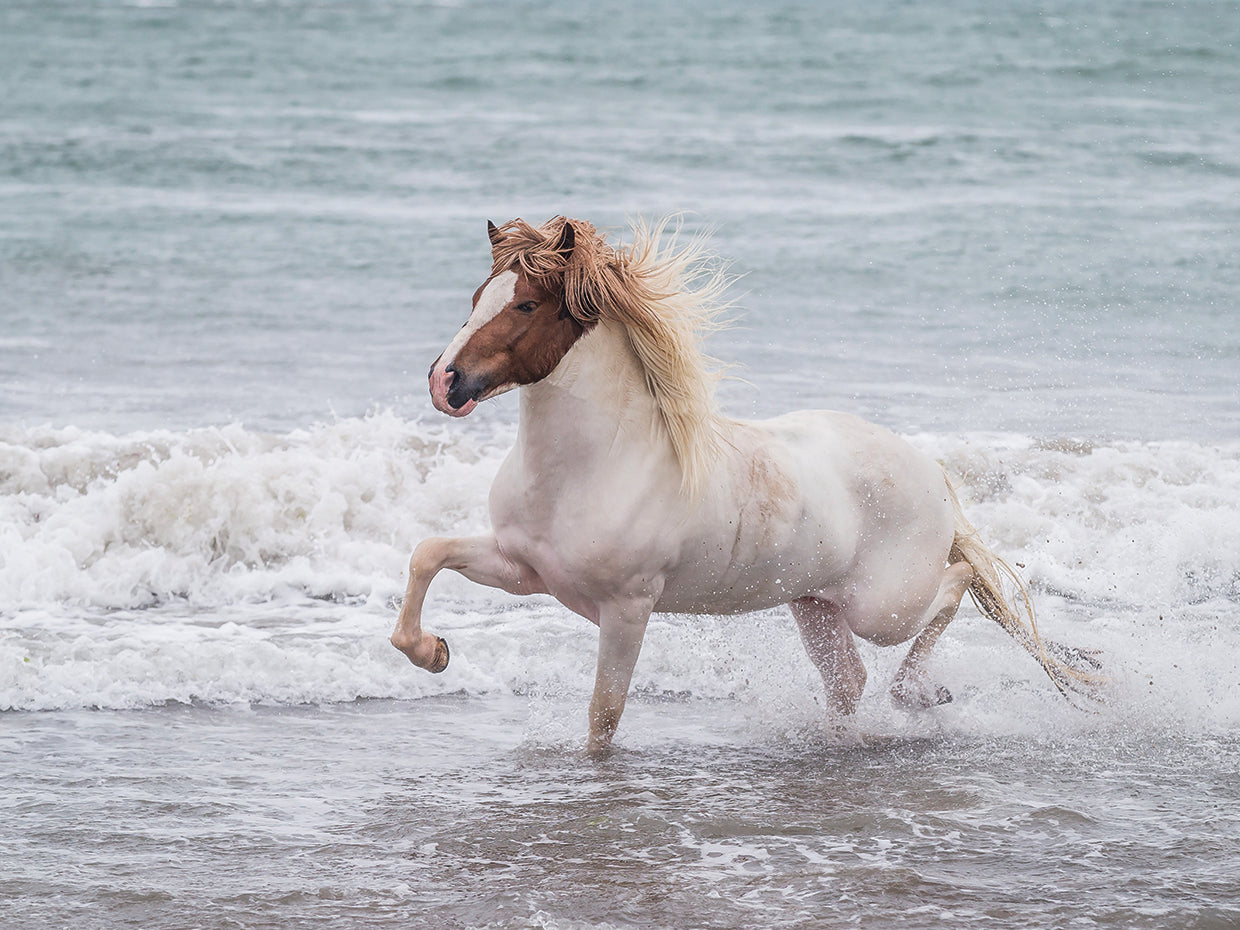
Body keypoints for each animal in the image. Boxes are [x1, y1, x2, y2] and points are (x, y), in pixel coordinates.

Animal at [391, 216, 1104, 752]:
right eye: (476, 297)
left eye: (527, 303)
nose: (444, 382)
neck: (592, 466)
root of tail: (929, 469)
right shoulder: (525, 569)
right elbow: (428, 554)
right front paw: (433, 653)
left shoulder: (626, 609)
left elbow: (604, 718)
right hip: (814, 604)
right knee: (850, 680)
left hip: (883, 608)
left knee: (954, 586)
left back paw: (924, 693)